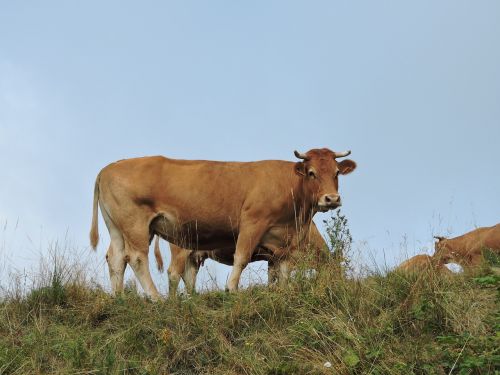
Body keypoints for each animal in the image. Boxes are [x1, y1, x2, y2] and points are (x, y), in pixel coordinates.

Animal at [154, 220, 330, 296]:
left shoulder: (273, 258)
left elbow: (273, 276)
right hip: (181, 251)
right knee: (174, 273)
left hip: (194, 256)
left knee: (189, 276)